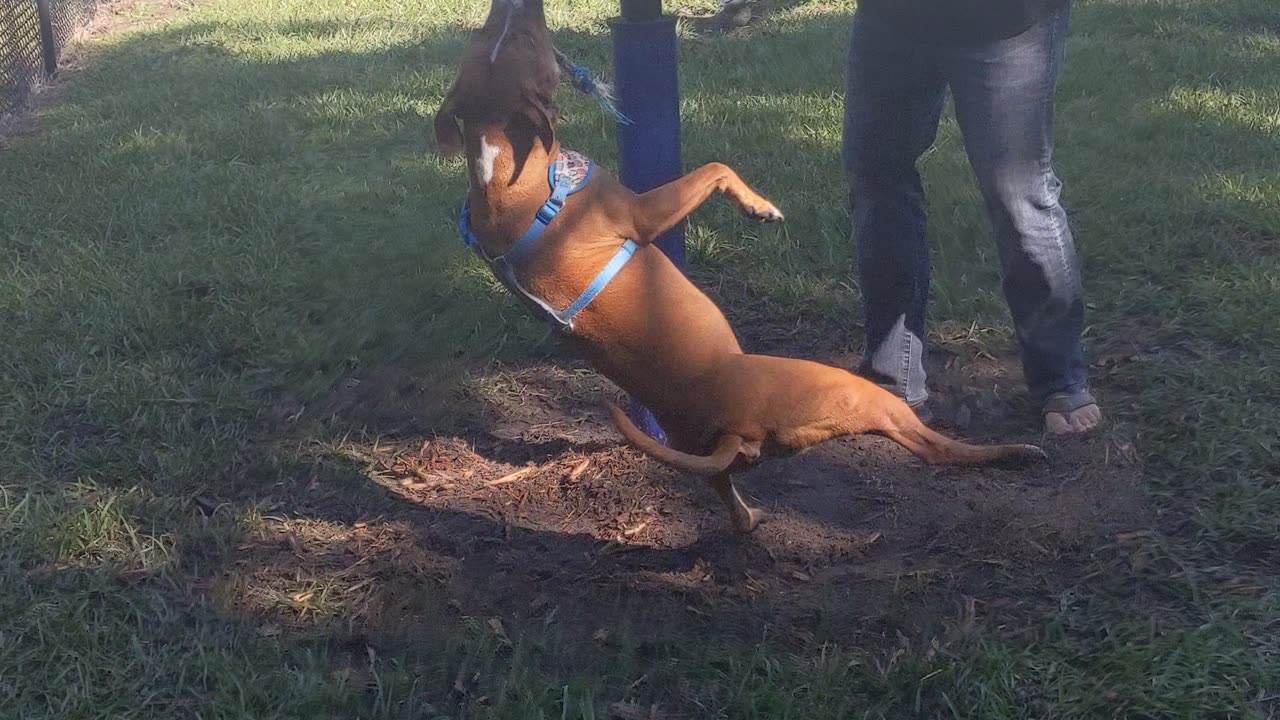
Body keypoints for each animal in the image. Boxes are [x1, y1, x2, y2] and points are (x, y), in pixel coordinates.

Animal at [435, 0, 1044, 532]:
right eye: (524, 41)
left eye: (495, 36)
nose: (515, 4)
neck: (501, 170)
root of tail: (737, 426)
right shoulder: (643, 213)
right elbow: (716, 166)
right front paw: (760, 207)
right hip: (841, 388)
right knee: (930, 446)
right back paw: (1013, 449)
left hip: (706, 450)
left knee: (726, 491)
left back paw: (749, 519)